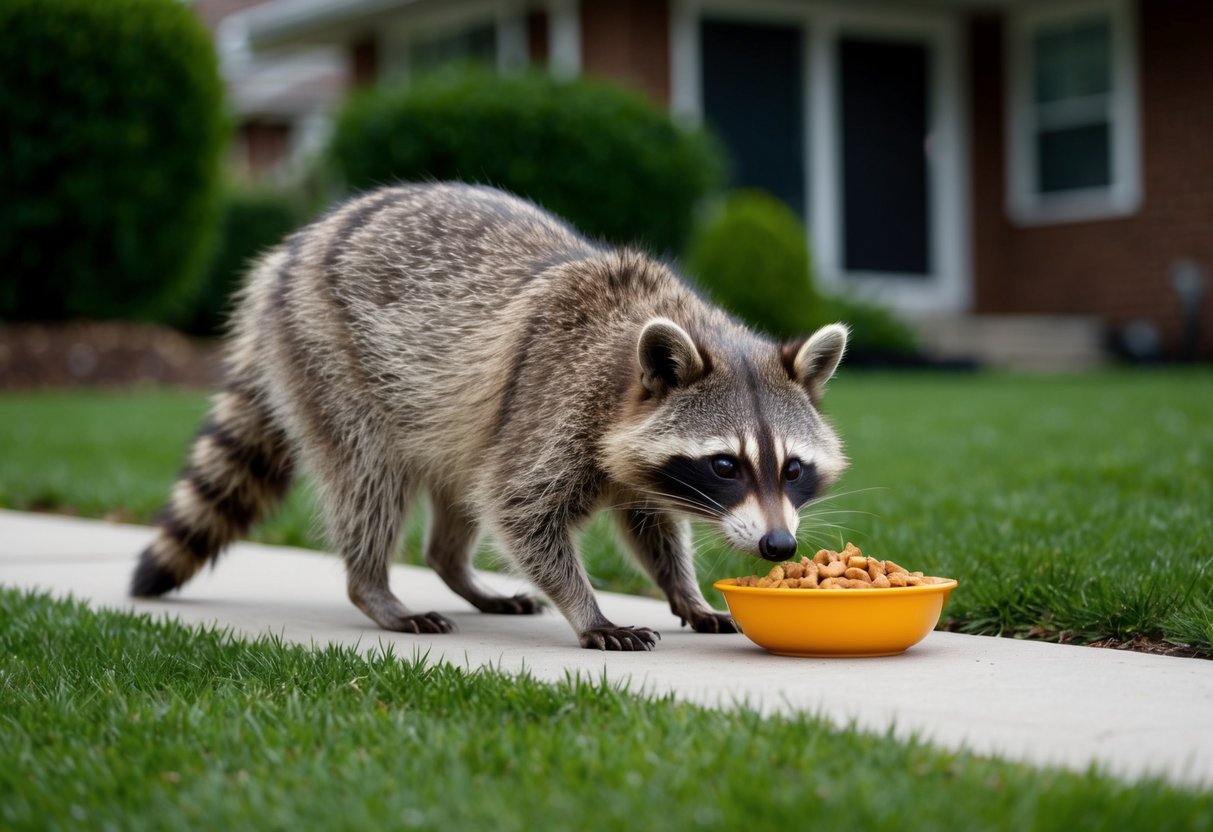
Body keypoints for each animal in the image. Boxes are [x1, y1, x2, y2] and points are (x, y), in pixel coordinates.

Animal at [131, 183, 849, 651]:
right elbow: (519, 507)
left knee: (458, 487)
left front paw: (686, 592)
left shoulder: (633, 459)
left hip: (444, 414)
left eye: (791, 468)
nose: (778, 546)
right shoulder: (553, 400)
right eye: (725, 465)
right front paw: (587, 609)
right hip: (328, 353)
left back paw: (454, 567)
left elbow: (649, 525)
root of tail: (290, 254)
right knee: (369, 478)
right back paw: (374, 587)